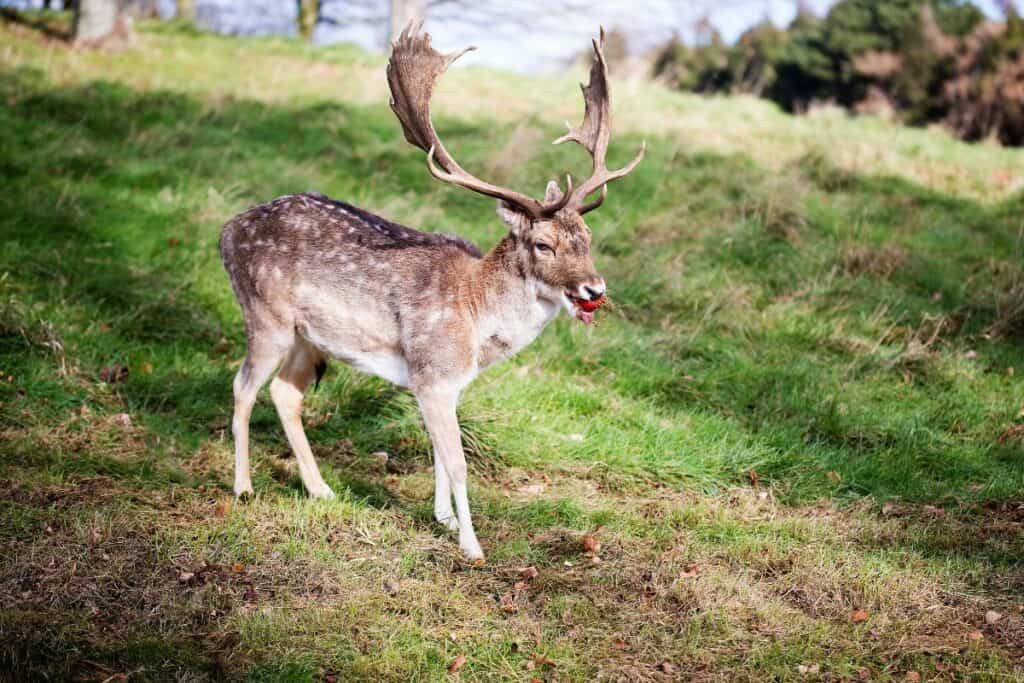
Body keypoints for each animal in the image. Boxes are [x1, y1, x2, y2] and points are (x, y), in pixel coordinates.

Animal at [220, 25, 643, 561]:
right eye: (543, 244)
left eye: (587, 238)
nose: (594, 289)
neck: (477, 318)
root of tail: (226, 231)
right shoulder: (432, 371)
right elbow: (458, 462)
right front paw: (472, 546)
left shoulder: (450, 383)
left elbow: (441, 455)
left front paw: (444, 519)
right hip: (265, 315)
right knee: (243, 386)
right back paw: (243, 487)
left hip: (308, 338)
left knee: (284, 392)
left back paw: (321, 489)